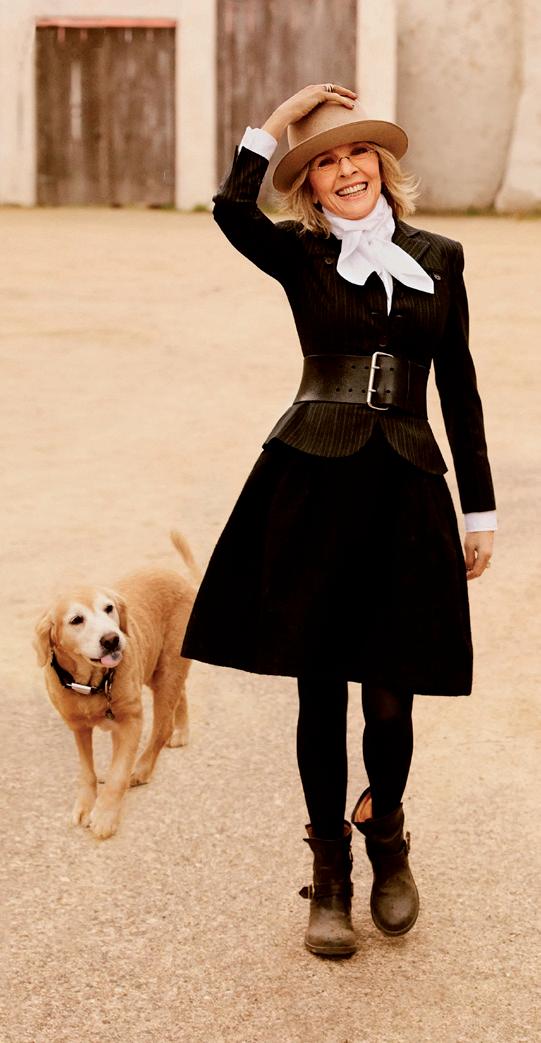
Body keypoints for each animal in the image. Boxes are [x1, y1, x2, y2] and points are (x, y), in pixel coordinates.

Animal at [34, 530, 201, 839]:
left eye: (108, 608)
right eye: (76, 620)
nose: (112, 639)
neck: (92, 683)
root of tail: (179, 578)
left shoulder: (130, 722)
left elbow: (117, 775)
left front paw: (105, 815)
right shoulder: (78, 727)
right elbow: (86, 771)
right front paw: (86, 803)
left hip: (166, 671)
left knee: (161, 728)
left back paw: (143, 768)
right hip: (157, 669)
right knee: (180, 694)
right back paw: (182, 730)